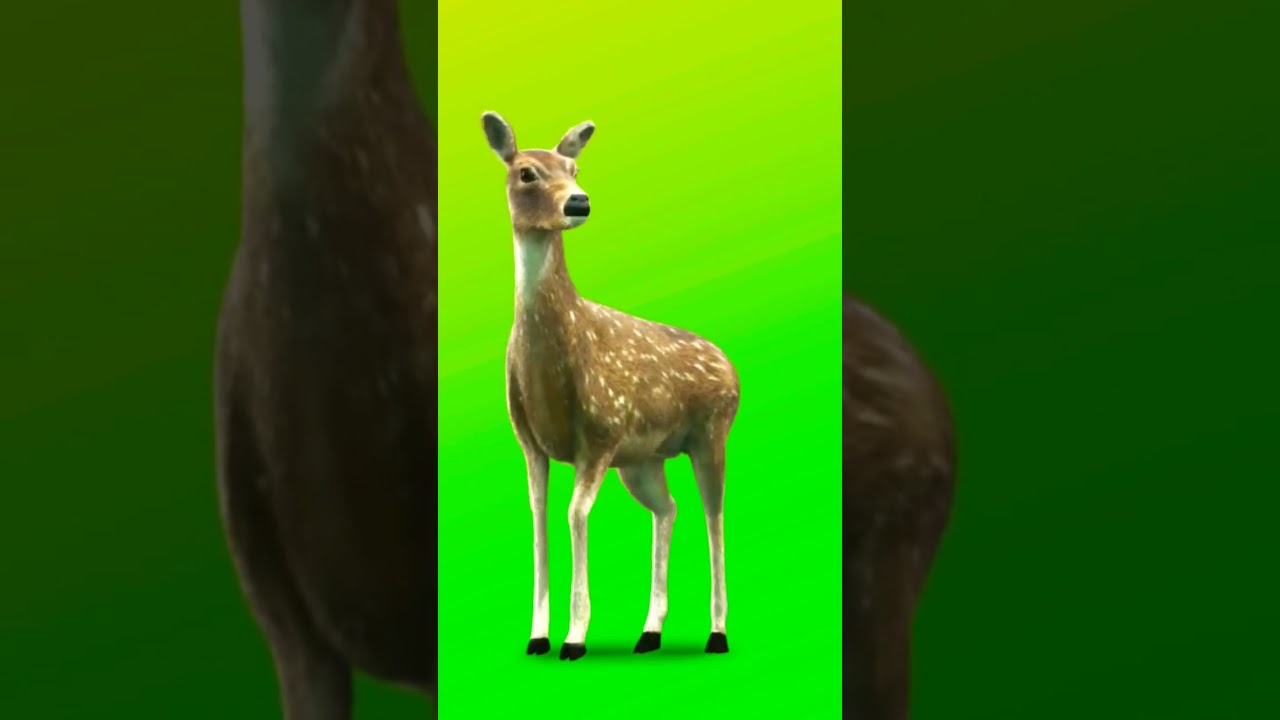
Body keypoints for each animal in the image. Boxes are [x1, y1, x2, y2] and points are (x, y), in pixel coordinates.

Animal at [480, 112, 741, 661]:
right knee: (669, 508)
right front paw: (538, 636)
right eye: (527, 172)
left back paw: (717, 633)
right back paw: (650, 632)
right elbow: (540, 515)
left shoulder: (599, 431)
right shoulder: (530, 440)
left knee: (714, 515)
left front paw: (574, 638)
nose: (578, 202)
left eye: (574, 168)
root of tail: (731, 366)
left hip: (711, 432)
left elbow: (575, 514)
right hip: (643, 459)